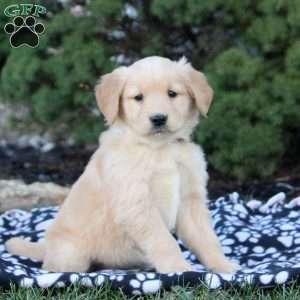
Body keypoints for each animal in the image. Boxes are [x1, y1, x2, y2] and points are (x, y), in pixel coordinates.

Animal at [5, 56, 239, 274]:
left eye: (172, 93)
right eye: (138, 97)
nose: (158, 119)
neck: (160, 148)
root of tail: (46, 247)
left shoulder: (190, 200)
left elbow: (207, 239)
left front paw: (225, 267)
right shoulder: (137, 203)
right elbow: (165, 241)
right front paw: (178, 269)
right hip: (71, 254)